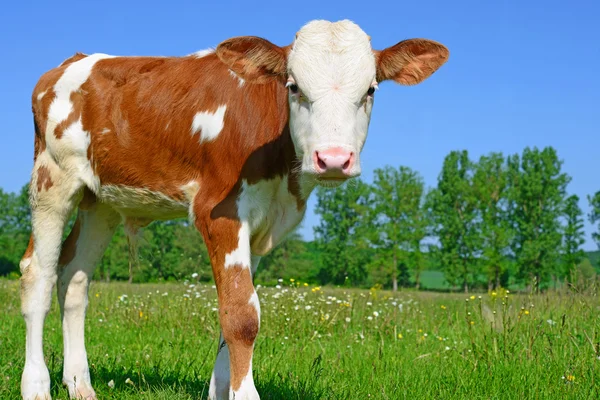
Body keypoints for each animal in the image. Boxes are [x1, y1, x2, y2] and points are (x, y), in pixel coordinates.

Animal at [18, 19, 448, 400]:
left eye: (371, 90)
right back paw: (36, 386)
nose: (333, 159)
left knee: (74, 277)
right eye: (293, 86)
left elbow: (235, 309)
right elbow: (242, 316)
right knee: (38, 274)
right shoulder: (220, 213)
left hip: (102, 199)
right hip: (52, 180)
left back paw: (80, 384)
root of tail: (74, 60)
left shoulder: (258, 226)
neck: (283, 177)